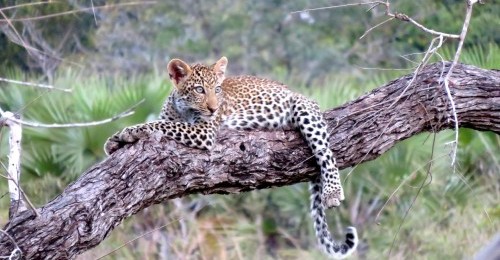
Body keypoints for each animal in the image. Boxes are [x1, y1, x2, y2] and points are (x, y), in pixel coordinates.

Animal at [103, 57, 358, 258]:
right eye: (199, 90)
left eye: (217, 89)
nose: (214, 109)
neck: (183, 110)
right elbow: (162, 122)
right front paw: (113, 140)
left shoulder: (203, 131)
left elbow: (160, 125)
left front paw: (129, 132)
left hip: (304, 108)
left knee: (325, 152)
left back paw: (333, 192)